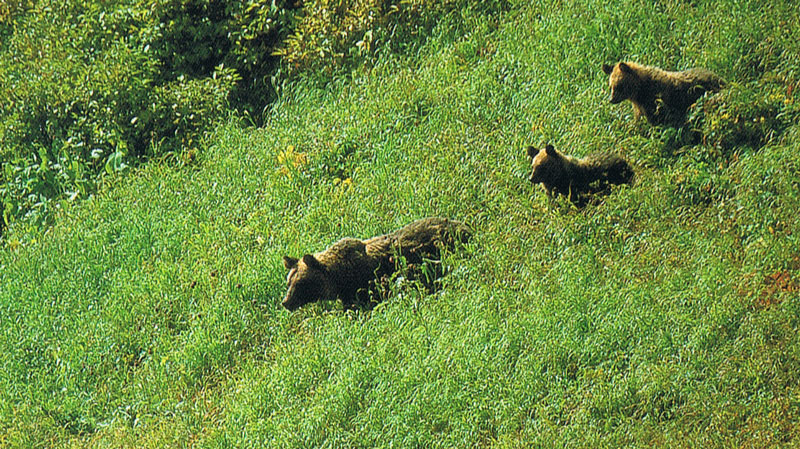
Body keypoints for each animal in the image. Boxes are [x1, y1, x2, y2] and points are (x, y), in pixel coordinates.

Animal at [282, 218, 472, 310]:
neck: (339, 277)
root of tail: (465, 226)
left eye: (301, 283)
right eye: (289, 282)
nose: (286, 302)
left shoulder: (366, 286)